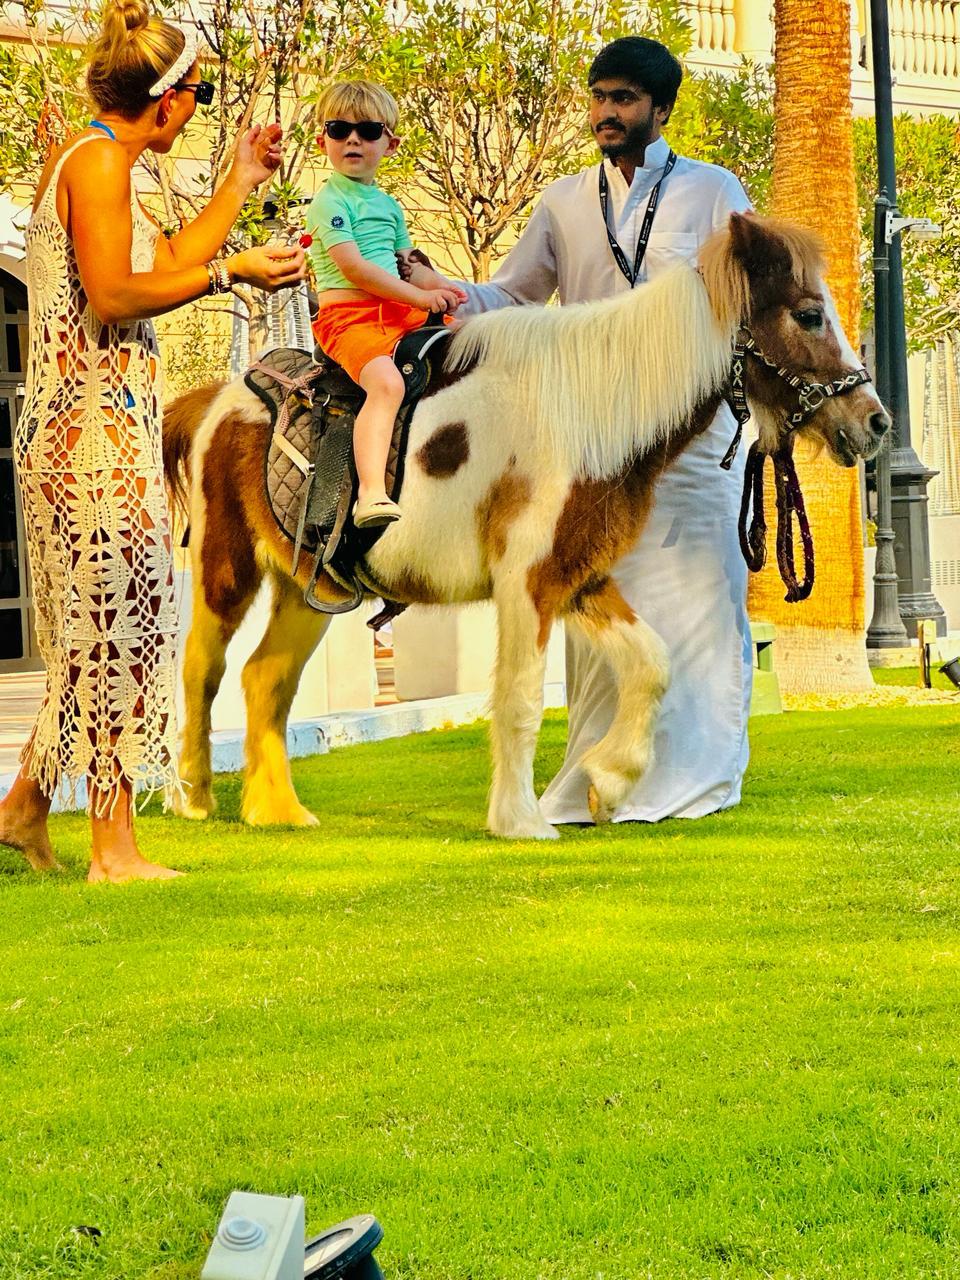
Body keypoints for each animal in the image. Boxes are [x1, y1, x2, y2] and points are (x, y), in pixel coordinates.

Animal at [162, 213, 889, 840]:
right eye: (809, 314)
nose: (875, 421)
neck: (586, 413)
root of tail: (216, 399)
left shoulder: (577, 577)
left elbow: (651, 665)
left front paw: (608, 782)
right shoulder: (525, 584)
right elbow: (519, 699)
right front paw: (520, 820)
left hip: (311, 586)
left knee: (265, 678)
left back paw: (277, 810)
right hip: (227, 566)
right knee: (201, 666)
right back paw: (192, 794)